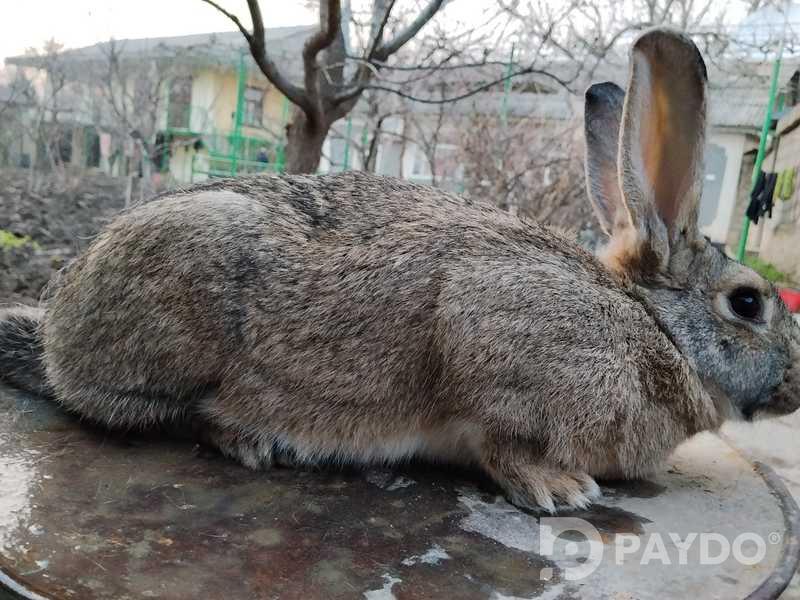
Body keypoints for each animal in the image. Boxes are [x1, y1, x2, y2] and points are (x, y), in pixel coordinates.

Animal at [1, 28, 798, 514]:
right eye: (749, 303)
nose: (795, 384)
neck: (654, 328)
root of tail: (57, 340)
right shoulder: (491, 334)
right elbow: (501, 437)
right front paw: (560, 489)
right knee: (162, 410)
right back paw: (252, 439)